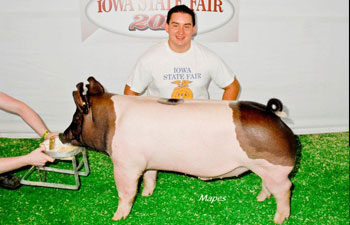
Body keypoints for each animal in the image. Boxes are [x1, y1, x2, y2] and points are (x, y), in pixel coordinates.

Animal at [59, 77, 296, 223]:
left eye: (76, 118)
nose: (62, 135)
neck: (110, 123)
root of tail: (274, 114)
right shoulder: (148, 162)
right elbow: (151, 177)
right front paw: (147, 194)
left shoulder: (125, 165)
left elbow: (126, 192)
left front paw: (117, 217)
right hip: (265, 169)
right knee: (268, 185)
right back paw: (260, 199)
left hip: (275, 169)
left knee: (285, 188)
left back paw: (278, 219)